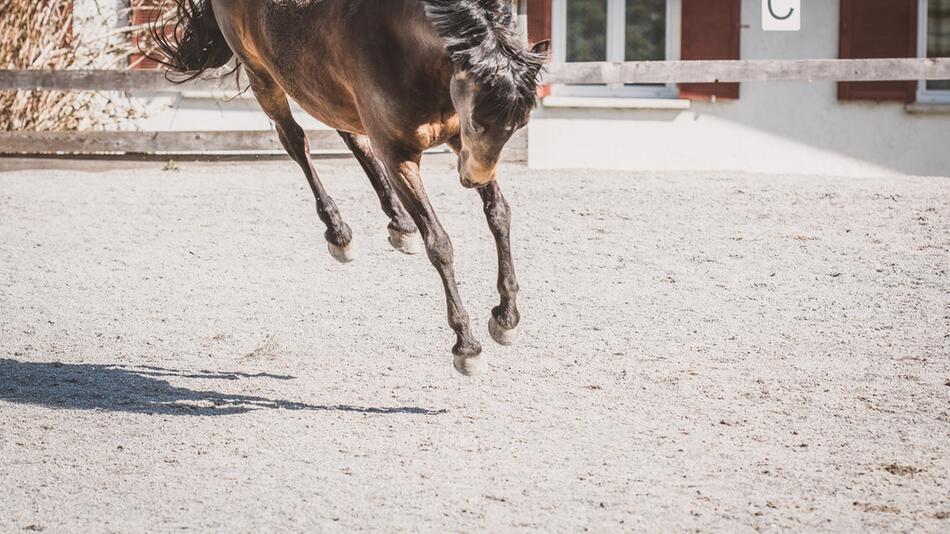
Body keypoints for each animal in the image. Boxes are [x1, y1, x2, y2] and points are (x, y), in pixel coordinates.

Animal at [149, 0, 552, 376]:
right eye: (479, 121)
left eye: (519, 124)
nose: (471, 179)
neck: (407, 45)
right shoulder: (399, 156)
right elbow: (439, 243)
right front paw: (467, 347)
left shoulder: (459, 141)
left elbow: (498, 215)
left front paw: (506, 319)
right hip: (262, 73)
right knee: (295, 141)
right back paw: (340, 232)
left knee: (349, 133)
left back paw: (399, 225)